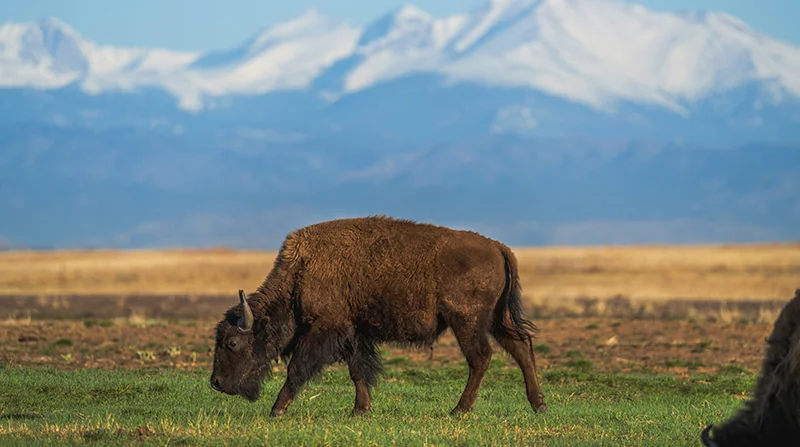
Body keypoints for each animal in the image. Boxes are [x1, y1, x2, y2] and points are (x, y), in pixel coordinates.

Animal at [209, 215, 548, 417]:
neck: (301, 272)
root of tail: (500, 248)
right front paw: (361, 409)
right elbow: (358, 370)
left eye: (232, 344)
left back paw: (459, 410)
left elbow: (297, 369)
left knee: (481, 357)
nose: (216, 382)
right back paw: (538, 404)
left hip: (467, 321)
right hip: (495, 319)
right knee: (520, 347)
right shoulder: (355, 333)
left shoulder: (324, 331)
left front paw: (277, 409)